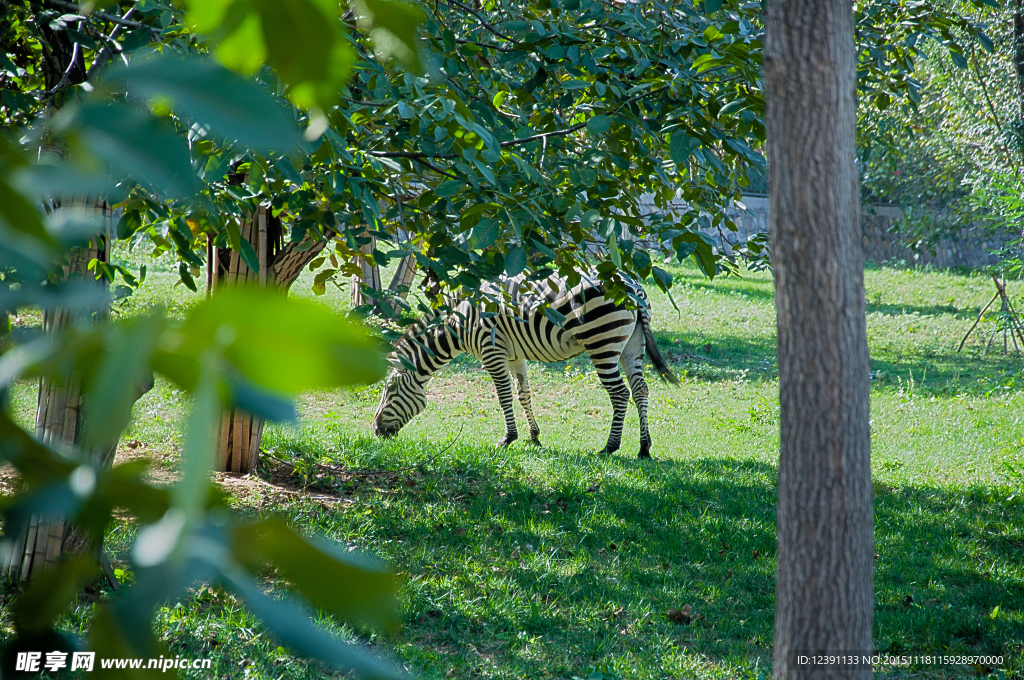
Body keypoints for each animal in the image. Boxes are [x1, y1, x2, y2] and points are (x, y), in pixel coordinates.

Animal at [370, 270, 679, 456]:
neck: (461, 321)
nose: (376, 431)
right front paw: (534, 436)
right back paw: (644, 448)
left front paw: (508, 438)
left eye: (391, 391)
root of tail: (634, 286)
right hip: (631, 344)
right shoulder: (514, 355)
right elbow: (523, 394)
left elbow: (504, 396)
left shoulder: (492, 350)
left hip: (602, 342)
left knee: (620, 393)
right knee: (640, 390)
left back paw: (610, 447)